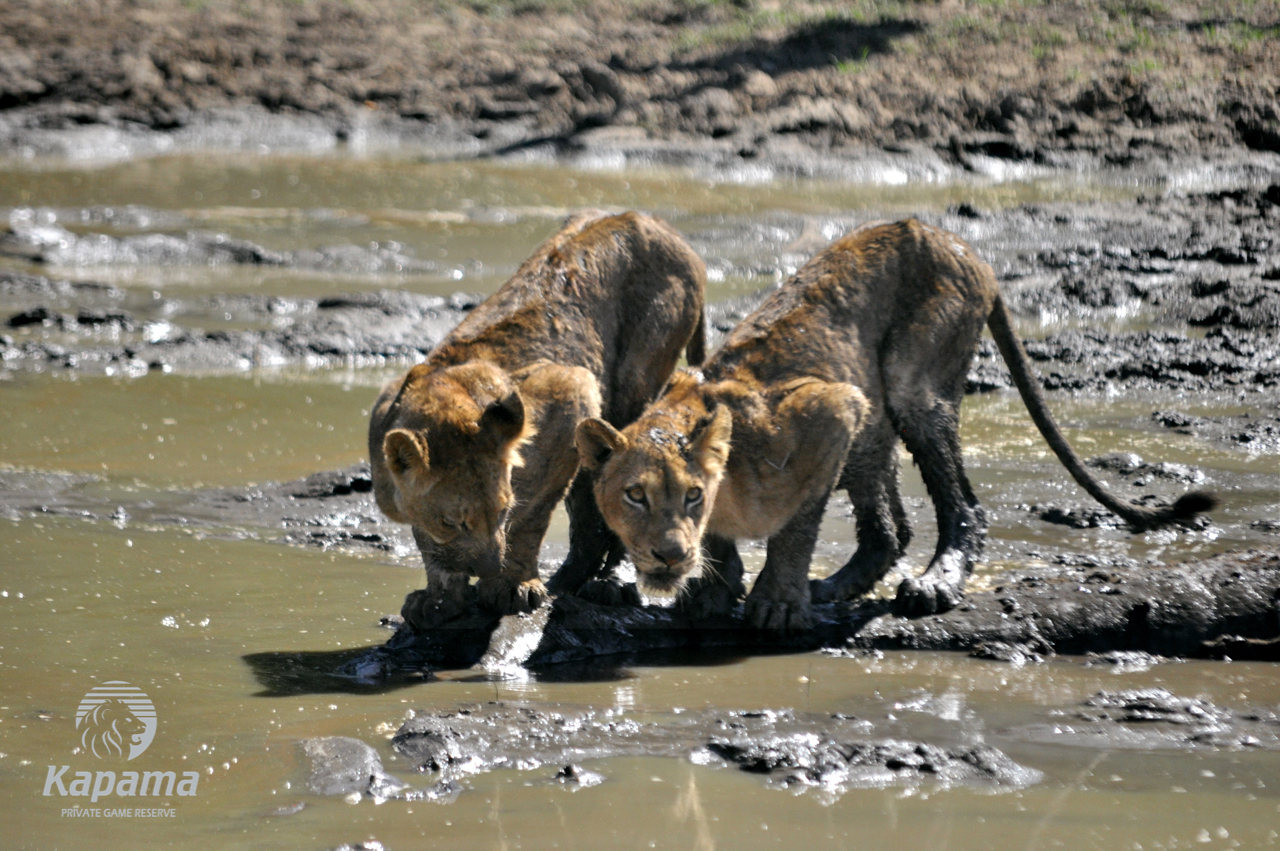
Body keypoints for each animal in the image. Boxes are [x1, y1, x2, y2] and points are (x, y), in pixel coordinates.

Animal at [370, 211, 706, 629]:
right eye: (452, 522)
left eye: (502, 512)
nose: (487, 566)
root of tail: (649, 218)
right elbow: (427, 541)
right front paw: (440, 596)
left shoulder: (573, 389)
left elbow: (532, 516)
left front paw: (513, 584)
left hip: (634, 377)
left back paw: (604, 582)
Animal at [576, 219, 1213, 631]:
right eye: (634, 496)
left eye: (691, 496)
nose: (667, 556)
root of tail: (962, 245)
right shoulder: (841, 413)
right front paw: (715, 583)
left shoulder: (832, 408)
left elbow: (797, 526)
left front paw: (776, 601)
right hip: (873, 412)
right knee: (891, 529)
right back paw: (835, 585)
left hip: (913, 383)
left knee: (964, 505)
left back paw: (934, 584)